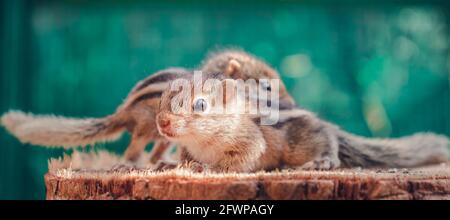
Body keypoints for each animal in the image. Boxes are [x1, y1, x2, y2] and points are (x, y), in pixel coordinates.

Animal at [0, 49, 292, 163]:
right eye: (267, 86)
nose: (291, 102)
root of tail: (123, 111)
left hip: (164, 137)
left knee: (155, 153)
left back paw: (161, 161)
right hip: (146, 129)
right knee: (132, 152)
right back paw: (135, 164)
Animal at [156, 73, 450, 173]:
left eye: (200, 105)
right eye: (162, 99)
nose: (162, 123)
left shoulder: (250, 140)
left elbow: (239, 159)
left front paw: (208, 167)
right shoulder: (187, 146)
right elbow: (184, 155)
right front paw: (174, 164)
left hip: (306, 143)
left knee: (329, 143)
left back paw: (323, 161)